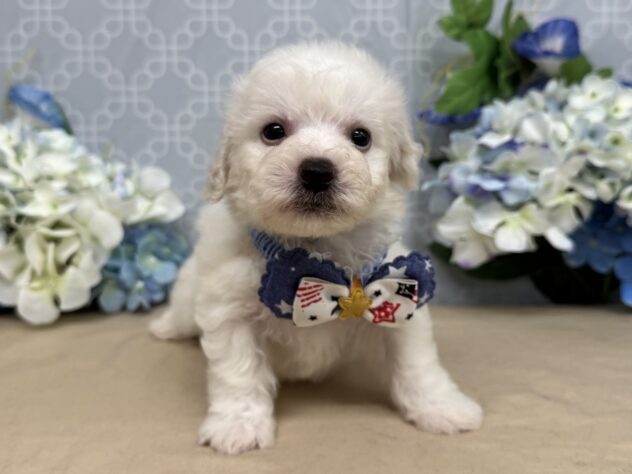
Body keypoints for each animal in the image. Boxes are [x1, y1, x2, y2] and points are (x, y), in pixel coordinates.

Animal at [149, 41, 482, 455]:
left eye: (361, 137)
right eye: (273, 131)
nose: (317, 171)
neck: (315, 255)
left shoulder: (401, 299)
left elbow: (417, 363)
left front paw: (442, 407)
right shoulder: (229, 309)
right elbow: (239, 372)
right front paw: (238, 425)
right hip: (189, 295)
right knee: (181, 315)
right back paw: (164, 326)